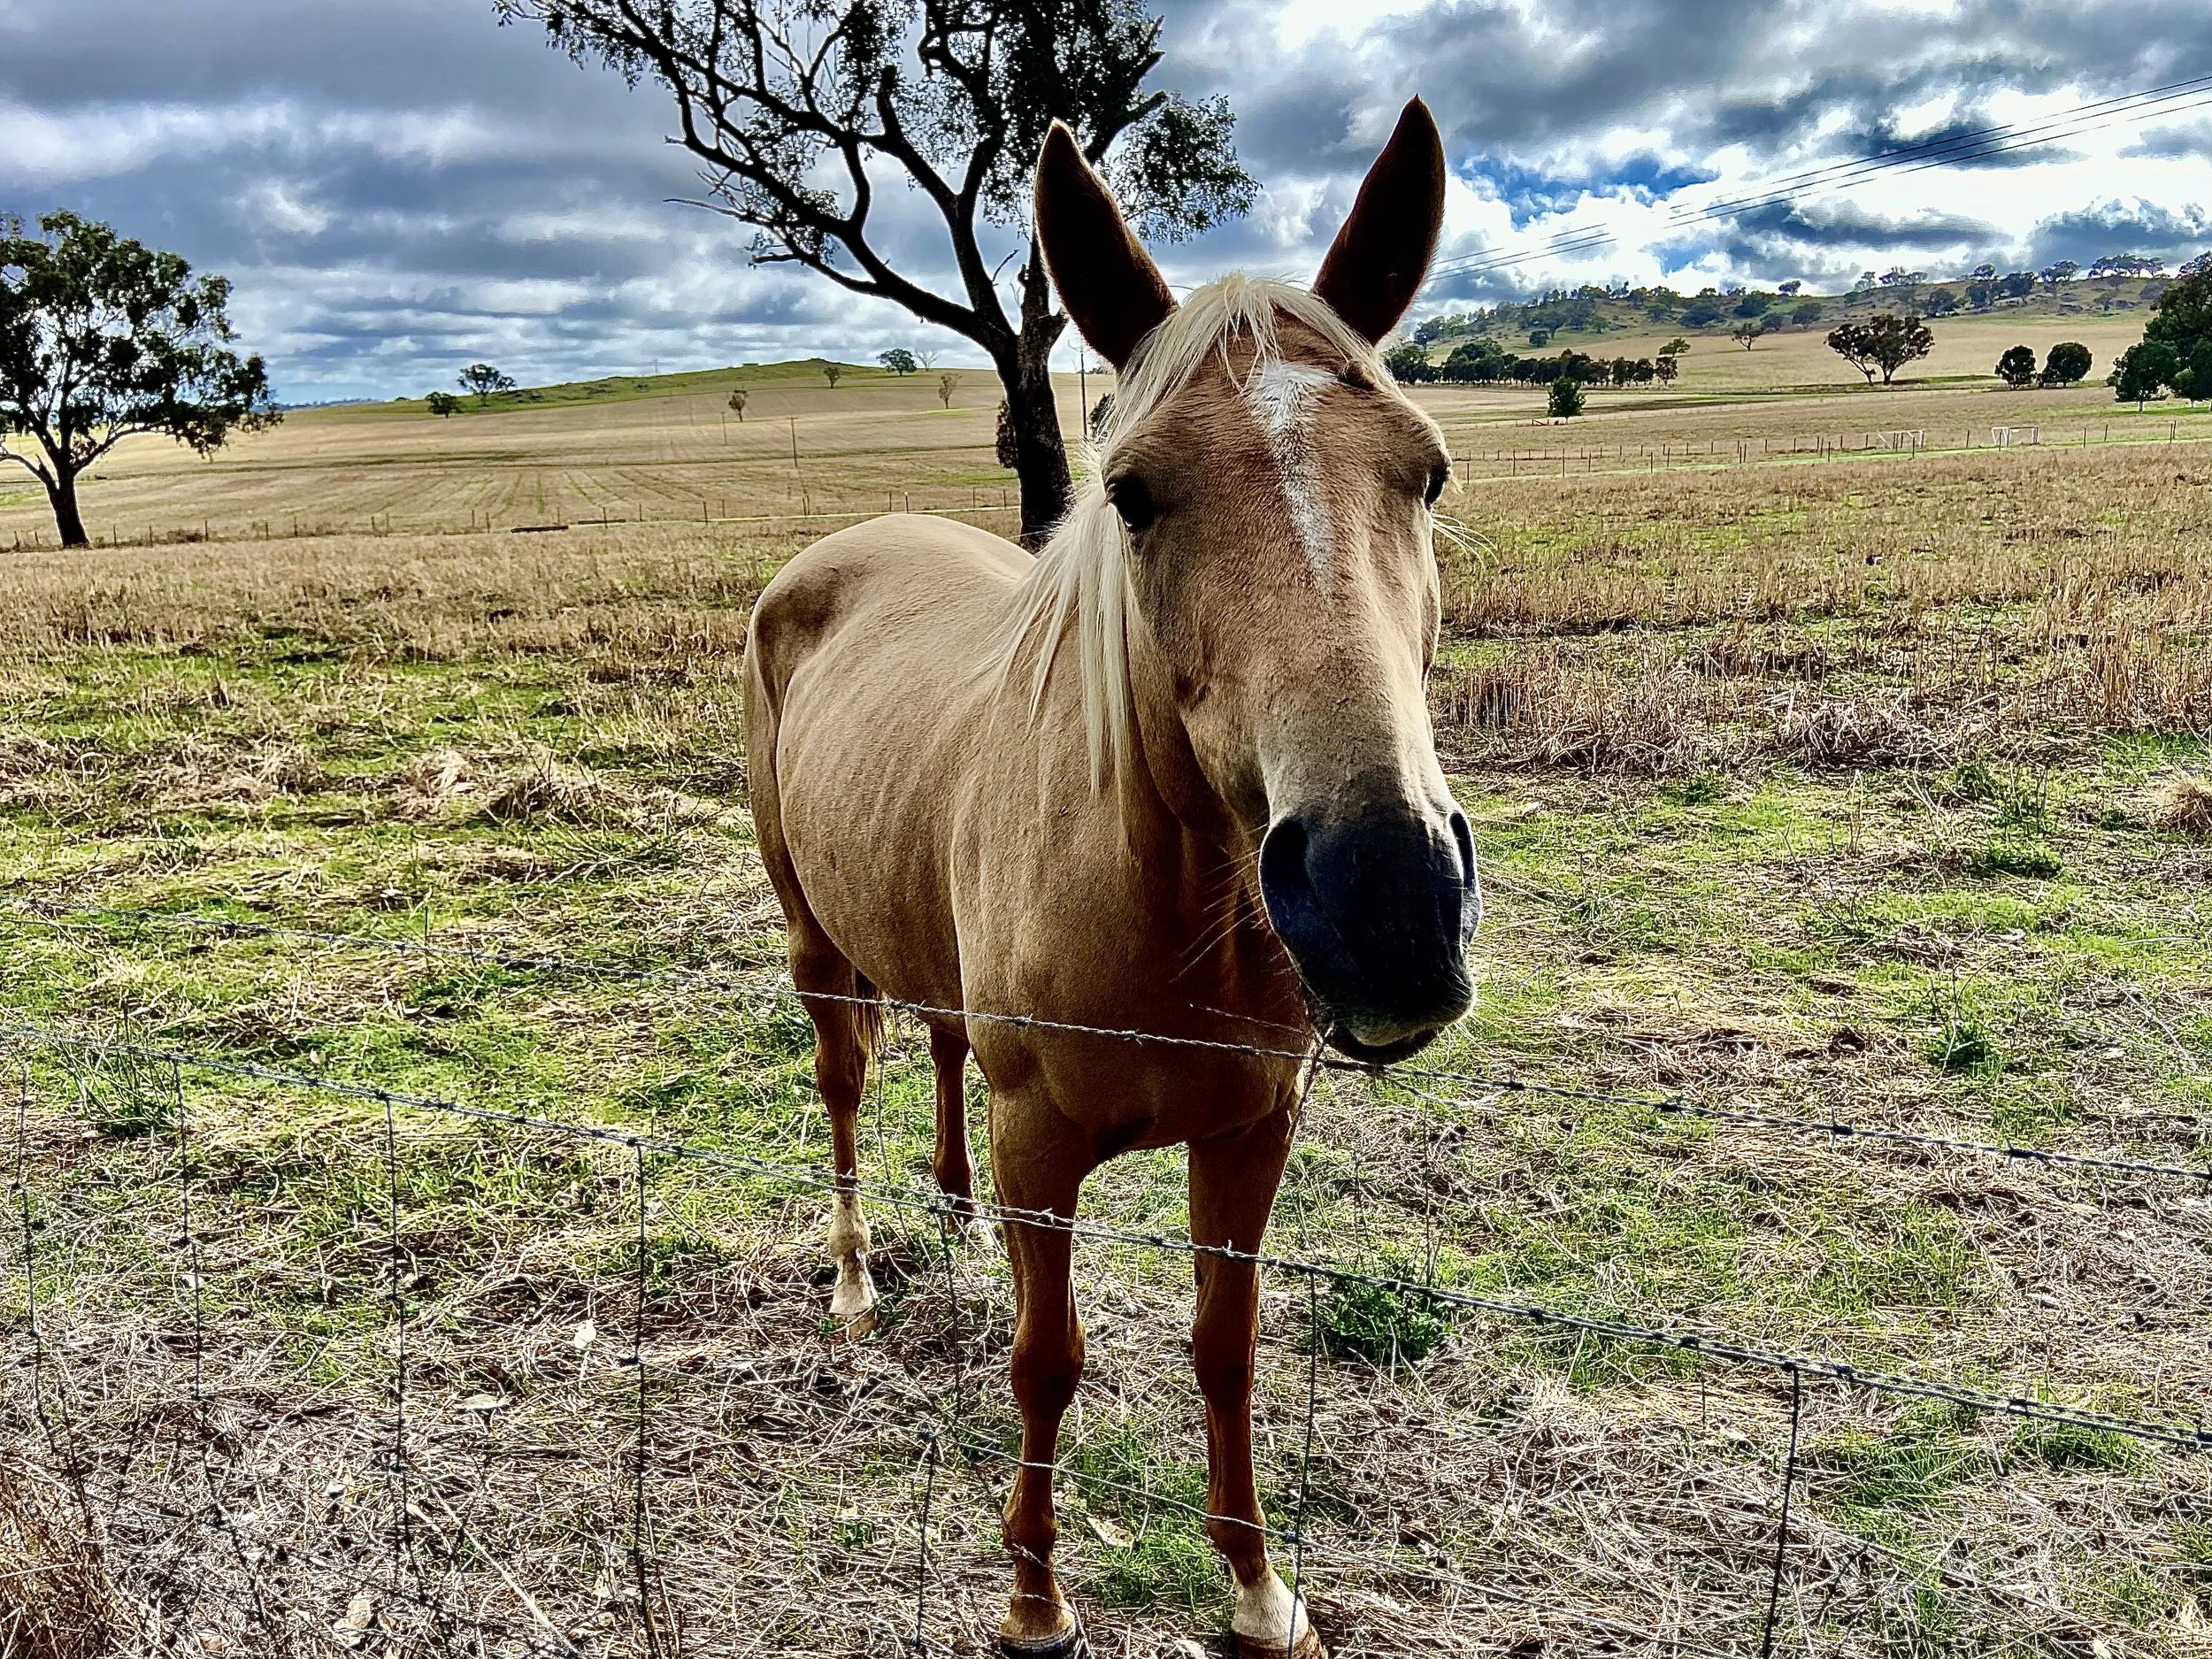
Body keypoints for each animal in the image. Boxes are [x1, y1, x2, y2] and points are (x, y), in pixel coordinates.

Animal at [744, 99, 1477, 1659]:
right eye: (1132, 494)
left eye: (1428, 471)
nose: (1386, 900)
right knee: (841, 1089)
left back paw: (949, 1209)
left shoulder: (1253, 1132)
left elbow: (1226, 1345)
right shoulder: (1044, 1147)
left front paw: (1259, 1587)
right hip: (813, 944)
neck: (1173, 921)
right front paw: (1034, 1597)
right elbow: (1047, 1357)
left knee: (937, 1043)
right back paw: (853, 1281)